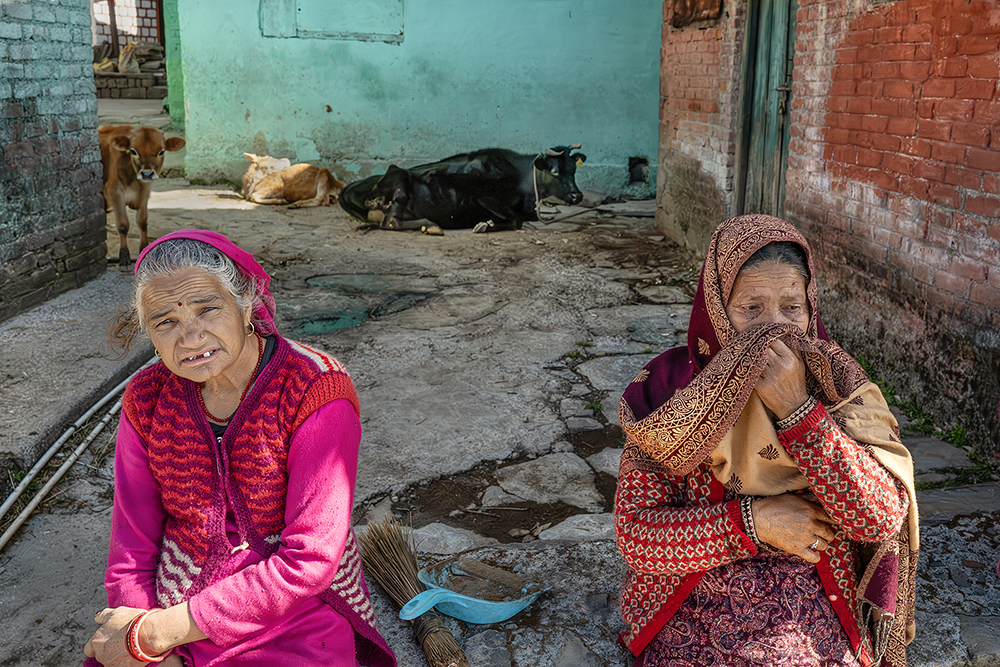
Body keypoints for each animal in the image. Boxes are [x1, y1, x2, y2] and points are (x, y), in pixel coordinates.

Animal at [99, 124, 186, 270]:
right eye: (133, 151)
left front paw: (144, 250)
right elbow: (123, 225)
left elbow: (143, 222)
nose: (147, 174)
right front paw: (124, 258)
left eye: (161, 151)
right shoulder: (114, 193)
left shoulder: (146, 193)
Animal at [340, 145, 584, 234]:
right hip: (398, 178)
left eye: (574, 170)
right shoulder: (485, 197)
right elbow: (516, 220)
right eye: (554, 171)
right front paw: (485, 225)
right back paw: (431, 225)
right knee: (390, 222)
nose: (577, 195)